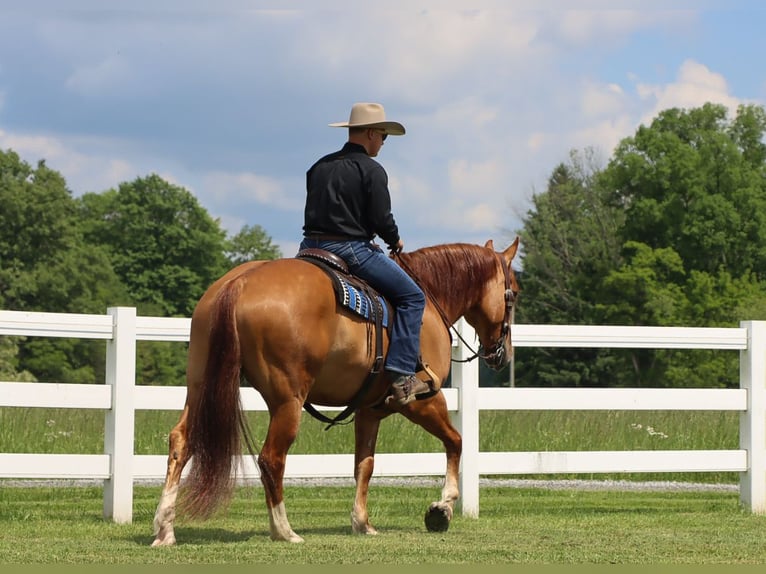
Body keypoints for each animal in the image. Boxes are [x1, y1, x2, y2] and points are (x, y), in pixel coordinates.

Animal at [150, 236, 520, 548]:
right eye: (513, 294)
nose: (504, 354)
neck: (429, 300)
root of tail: (239, 283)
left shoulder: (370, 410)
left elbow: (364, 465)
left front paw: (362, 523)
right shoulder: (421, 401)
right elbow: (456, 442)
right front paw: (441, 509)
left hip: (200, 386)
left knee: (181, 442)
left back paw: (164, 527)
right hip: (287, 401)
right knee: (271, 459)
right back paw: (283, 530)